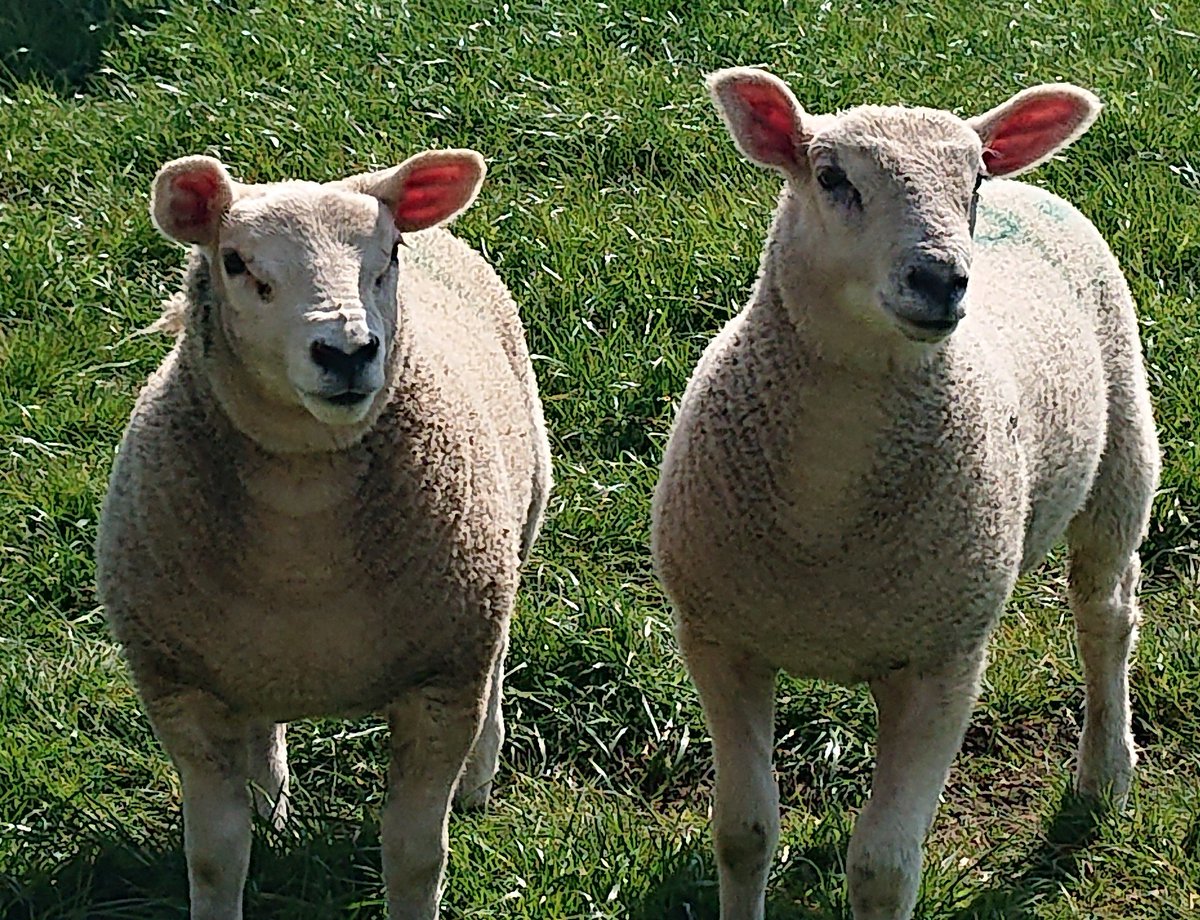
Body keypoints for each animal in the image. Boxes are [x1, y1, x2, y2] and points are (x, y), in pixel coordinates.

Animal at [95, 148, 551, 920]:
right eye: (236, 261)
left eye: (387, 254)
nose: (347, 352)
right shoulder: (179, 687)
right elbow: (215, 855)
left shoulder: (442, 678)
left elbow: (414, 855)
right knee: (261, 731)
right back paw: (270, 802)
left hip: (510, 545)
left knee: (496, 668)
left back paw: (477, 781)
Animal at [651, 68, 1160, 920]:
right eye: (831, 178)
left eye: (973, 180)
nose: (942, 279)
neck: (826, 503)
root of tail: (1034, 188)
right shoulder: (720, 641)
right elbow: (744, 834)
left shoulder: (943, 664)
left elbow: (884, 868)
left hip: (1124, 451)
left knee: (1106, 616)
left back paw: (1104, 774)